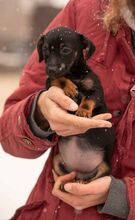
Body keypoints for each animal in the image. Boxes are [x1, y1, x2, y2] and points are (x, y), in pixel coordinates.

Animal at [37, 26, 115, 186]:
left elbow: (89, 99)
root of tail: (81, 173)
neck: (74, 75)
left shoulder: (97, 91)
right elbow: (58, 79)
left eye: (65, 50)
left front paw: (83, 111)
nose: (51, 69)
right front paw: (69, 87)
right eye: (45, 50)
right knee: (67, 176)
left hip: (105, 166)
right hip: (57, 160)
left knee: (94, 179)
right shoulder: (49, 82)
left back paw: (82, 183)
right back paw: (67, 183)